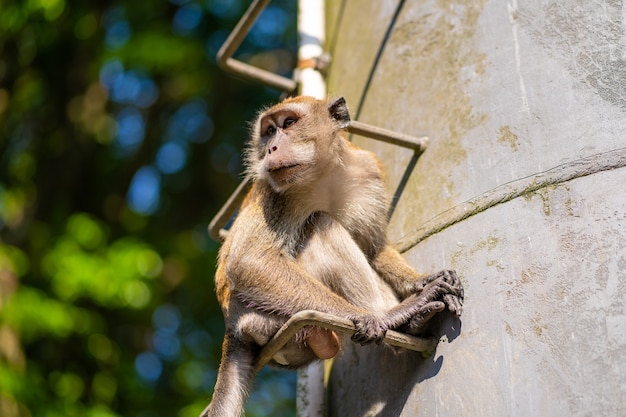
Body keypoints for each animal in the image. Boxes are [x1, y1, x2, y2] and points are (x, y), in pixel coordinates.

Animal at [200, 95, 464, 416]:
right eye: (269, 131)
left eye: (288, 123)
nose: (271, 148)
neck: (320, 175)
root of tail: (232, 329)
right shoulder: (273, 193)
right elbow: (249, 261)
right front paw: (371, 315)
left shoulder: (368, 171)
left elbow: (375, 249)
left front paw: (423, 280)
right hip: (265, 318)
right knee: (321, 223)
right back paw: (392, 315)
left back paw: (413, 321)